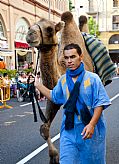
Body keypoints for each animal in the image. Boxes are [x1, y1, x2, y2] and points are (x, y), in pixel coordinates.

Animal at [25, 11, 115, 163]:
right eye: (31, 25)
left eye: (49, 29)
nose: (30, 34)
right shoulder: (53, 99)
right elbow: (44, 128)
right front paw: (54, 157)